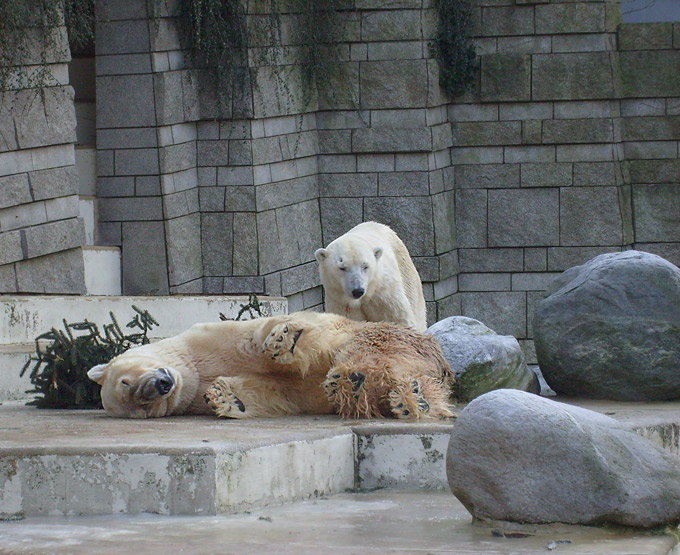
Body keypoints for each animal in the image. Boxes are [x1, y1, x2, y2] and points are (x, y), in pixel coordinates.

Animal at [87, 312, 454, 422]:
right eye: (141, 407)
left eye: (124, 380)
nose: (160, 385)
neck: (191, 367)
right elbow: (276, 392)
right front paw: (227, 399)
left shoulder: (212, 337)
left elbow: (260, 339)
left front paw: (283, 341)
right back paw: (404, 398)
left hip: (384, 336)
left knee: (372, 355)